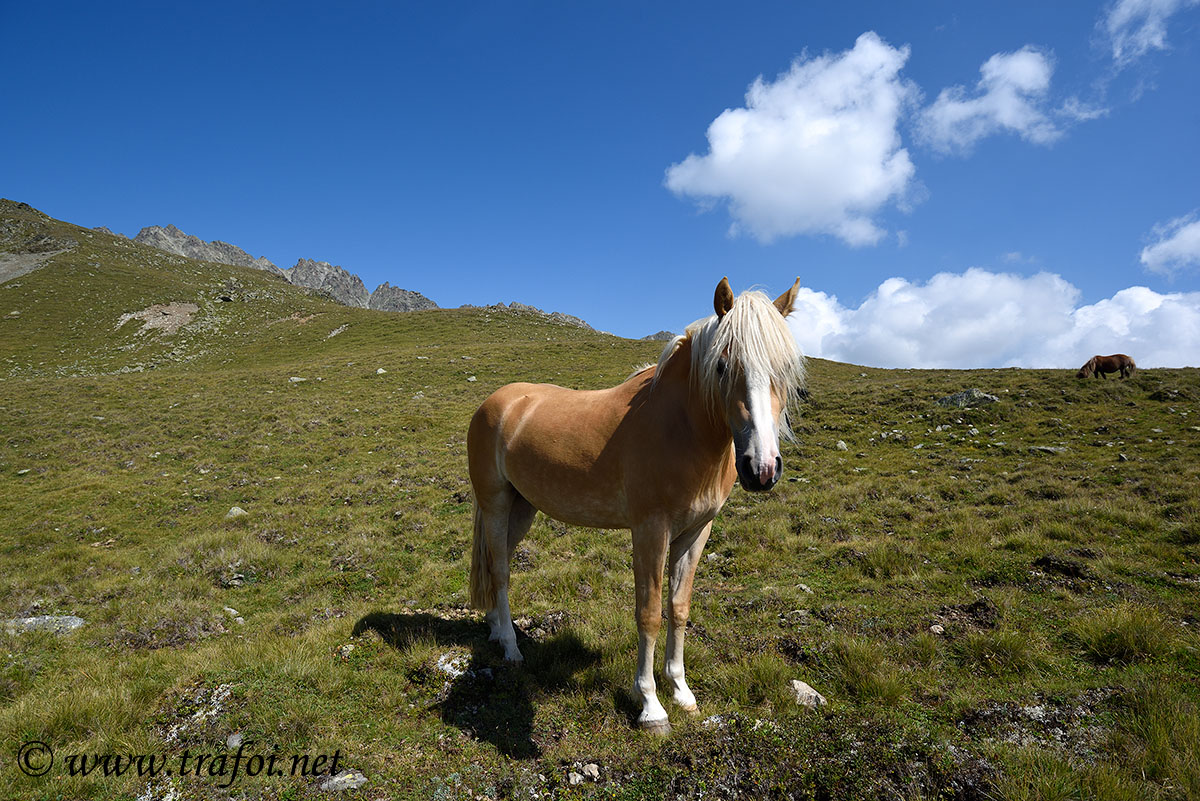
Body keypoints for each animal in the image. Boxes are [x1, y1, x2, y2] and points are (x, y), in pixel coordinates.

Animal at [468, 275, 806, 733]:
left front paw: (680, 691)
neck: (680, 427)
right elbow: (649, 612)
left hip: (522, 508)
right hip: (497, 503)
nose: (762, 468)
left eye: (785, 369)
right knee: (501, 571)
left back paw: (494, 628)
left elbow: (678, 608)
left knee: (494, 560)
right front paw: (650, 705)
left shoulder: (695, 533)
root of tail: (495, 403)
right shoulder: (650, 530)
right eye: (721, 365)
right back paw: (510, 647)